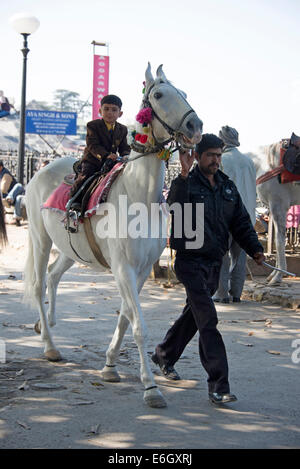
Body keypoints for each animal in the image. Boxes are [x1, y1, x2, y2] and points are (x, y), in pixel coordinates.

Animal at [22, 64, 202, 408]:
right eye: (159, 95)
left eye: (185, 93)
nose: (195, 126)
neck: (138, 195)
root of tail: (40, 171)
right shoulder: (123, 268)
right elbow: (138, 324)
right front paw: (150, 387)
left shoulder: (141, 270)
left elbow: (125, 317)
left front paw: (109, 366)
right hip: (39, 239)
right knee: (38, 284)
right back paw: (50, 346)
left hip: (70, 250)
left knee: (53, 275)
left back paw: (45, 322)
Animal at [253, 137, 300, 284]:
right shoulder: (273, 208)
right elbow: (275, 240)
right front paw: (274, 273)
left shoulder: (279, 205)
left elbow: (279, 241)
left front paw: (278, 277)